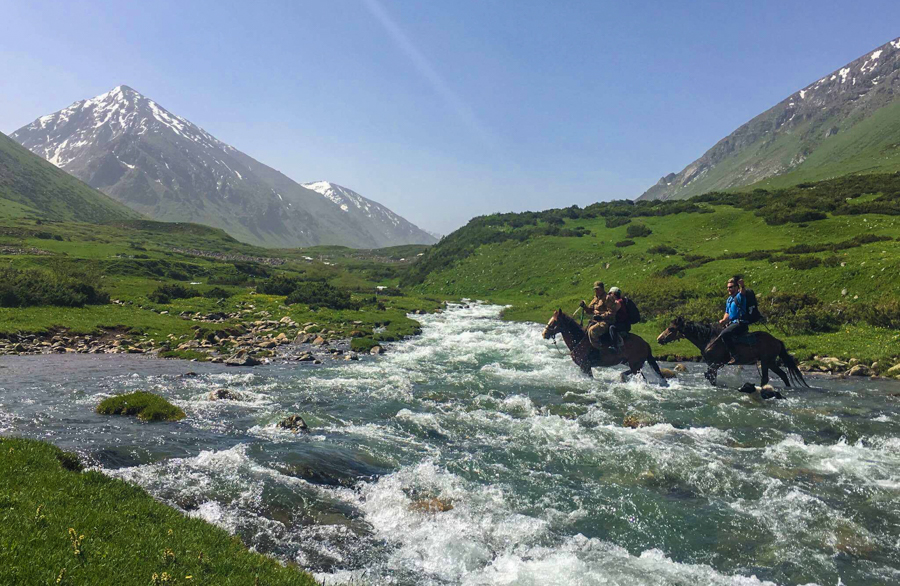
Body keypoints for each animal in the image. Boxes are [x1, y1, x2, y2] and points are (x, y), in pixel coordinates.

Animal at [540, 306, 668, 384]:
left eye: (555, 321)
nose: (544, 333)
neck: (579, 339)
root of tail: (645, 343)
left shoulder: (585, 366)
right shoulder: (584, 367)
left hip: (635, 365)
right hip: (633, 364)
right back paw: (622, 376)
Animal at [652, 314, 808, 388]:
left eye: (671, 328)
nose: (659, 338)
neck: (708, 339)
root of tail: (776, 340)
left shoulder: (715, 363)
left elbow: (710, 377)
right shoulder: (712, 364)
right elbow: (710, 377)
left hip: (765, 361)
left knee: (766, 378)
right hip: (771, 362)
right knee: (783, 375)